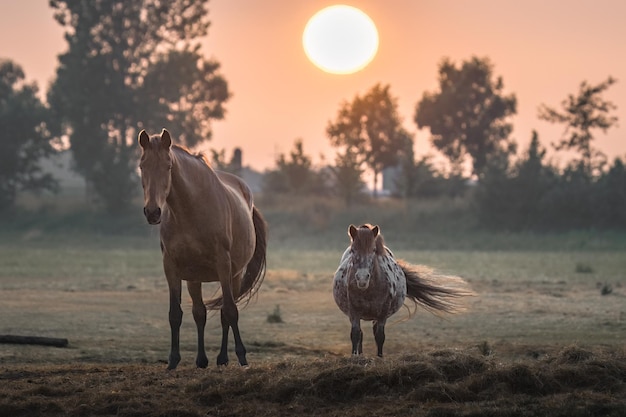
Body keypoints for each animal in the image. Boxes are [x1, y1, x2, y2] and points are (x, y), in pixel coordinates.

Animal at [139, 128, 266, 368]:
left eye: (168, 166)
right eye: (142, 166)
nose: (152, 212)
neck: (191, 210)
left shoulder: (223, 265)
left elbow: (230, 311)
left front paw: (242, 356)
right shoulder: (171, 267)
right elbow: (176, 314)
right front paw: (173, 360)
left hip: (234, 274)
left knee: (226, 312)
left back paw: (224, 358)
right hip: (194, 278)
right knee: (200, 313)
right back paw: (202, 359)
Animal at [334, 224, 470, 358]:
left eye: (373, 250)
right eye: (353, 250)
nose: (362, 278)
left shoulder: (382, 313)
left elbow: (379, 336)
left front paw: (380, 357)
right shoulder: (354, 312)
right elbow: (355, 335)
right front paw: (354, 357)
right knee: (361, 334)